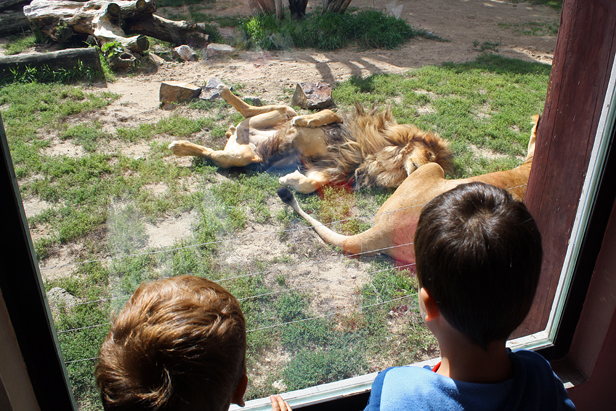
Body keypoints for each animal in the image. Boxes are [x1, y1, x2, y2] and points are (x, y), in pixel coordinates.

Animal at [168, 85, 452, 195]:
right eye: (429, 156)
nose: (424, 169)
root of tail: (237, 136)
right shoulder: (348, 128)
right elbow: (331, 113)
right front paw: (308, 122)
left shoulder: (335, 168)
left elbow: (313, 183)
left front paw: (291, 180)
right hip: (280, 113)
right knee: (254, 110)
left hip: (240, 157)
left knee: (213, 149)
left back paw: (182, 146)